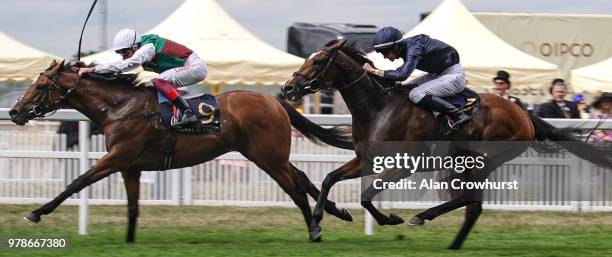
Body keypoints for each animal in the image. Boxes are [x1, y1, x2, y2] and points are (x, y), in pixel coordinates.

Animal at [8, 60, 354, 242]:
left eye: (41, 86)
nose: (14, 111)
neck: (121, 108)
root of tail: (275, 100)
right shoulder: (130, 166)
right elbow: (132, 207)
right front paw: (129, 241)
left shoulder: (118, 157)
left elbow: (76, 182)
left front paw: (36, 212)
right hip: (269, 154)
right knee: (303, 177)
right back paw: (336, 212)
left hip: (267, 157)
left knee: (296, 189)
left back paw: (314, 229)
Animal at [282, 40, 612, 248]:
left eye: (319, 61)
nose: (288, 87)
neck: (378, 108)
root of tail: (524, 114)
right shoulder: (366, 159)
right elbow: (329, 178)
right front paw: (318, 224)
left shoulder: (402, 166)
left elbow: (366, 196)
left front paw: (391, 218)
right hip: (460, 165)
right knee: (471, 205)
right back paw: (452, 242)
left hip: (482, 160)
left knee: (470, 201)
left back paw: (422, 217)